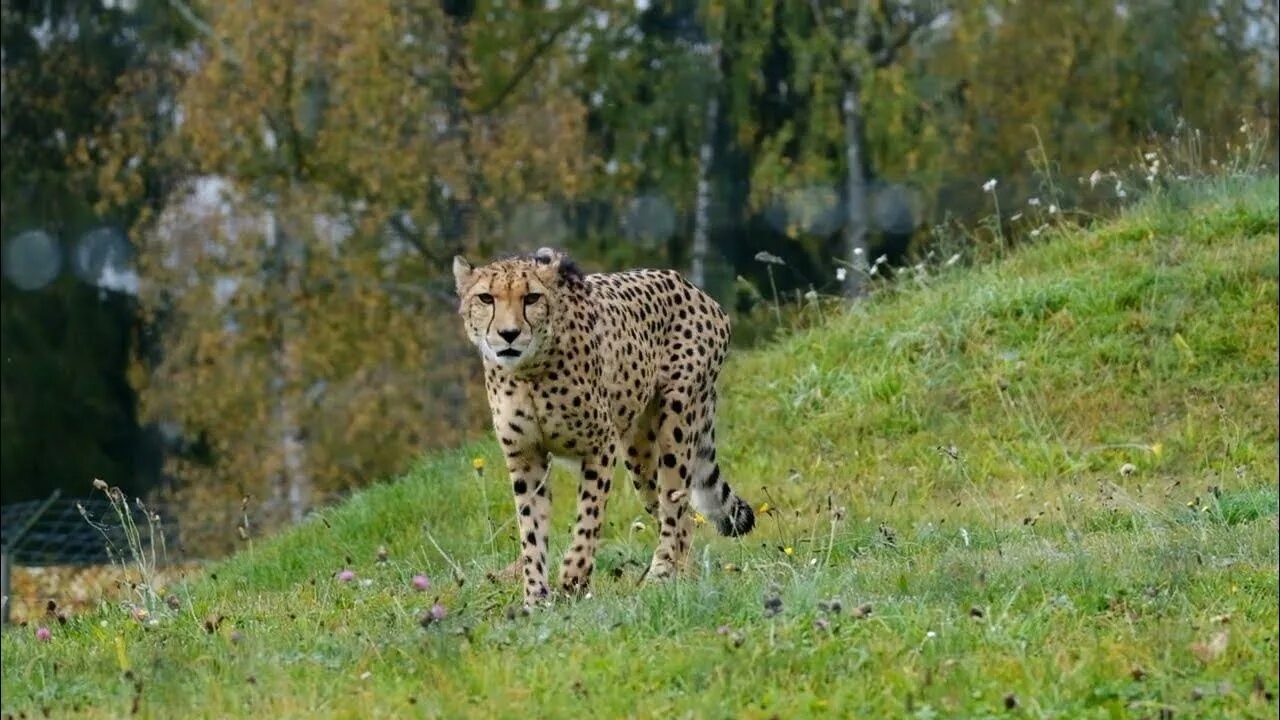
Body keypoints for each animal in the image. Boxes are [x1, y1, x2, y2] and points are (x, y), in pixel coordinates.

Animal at [453, 249, 752, 602]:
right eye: (486, 298)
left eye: (532, 298)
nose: (509, 334)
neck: (529, 371)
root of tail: (691, 287)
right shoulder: (526, 457)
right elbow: (532, 530)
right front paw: (536, 598)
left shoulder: (599, 446)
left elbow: (589, 516)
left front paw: (574, 577)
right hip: (639, 451)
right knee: (681, 518)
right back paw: (682, 579)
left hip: (677, 422)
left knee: (674, 506)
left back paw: (661, 576)